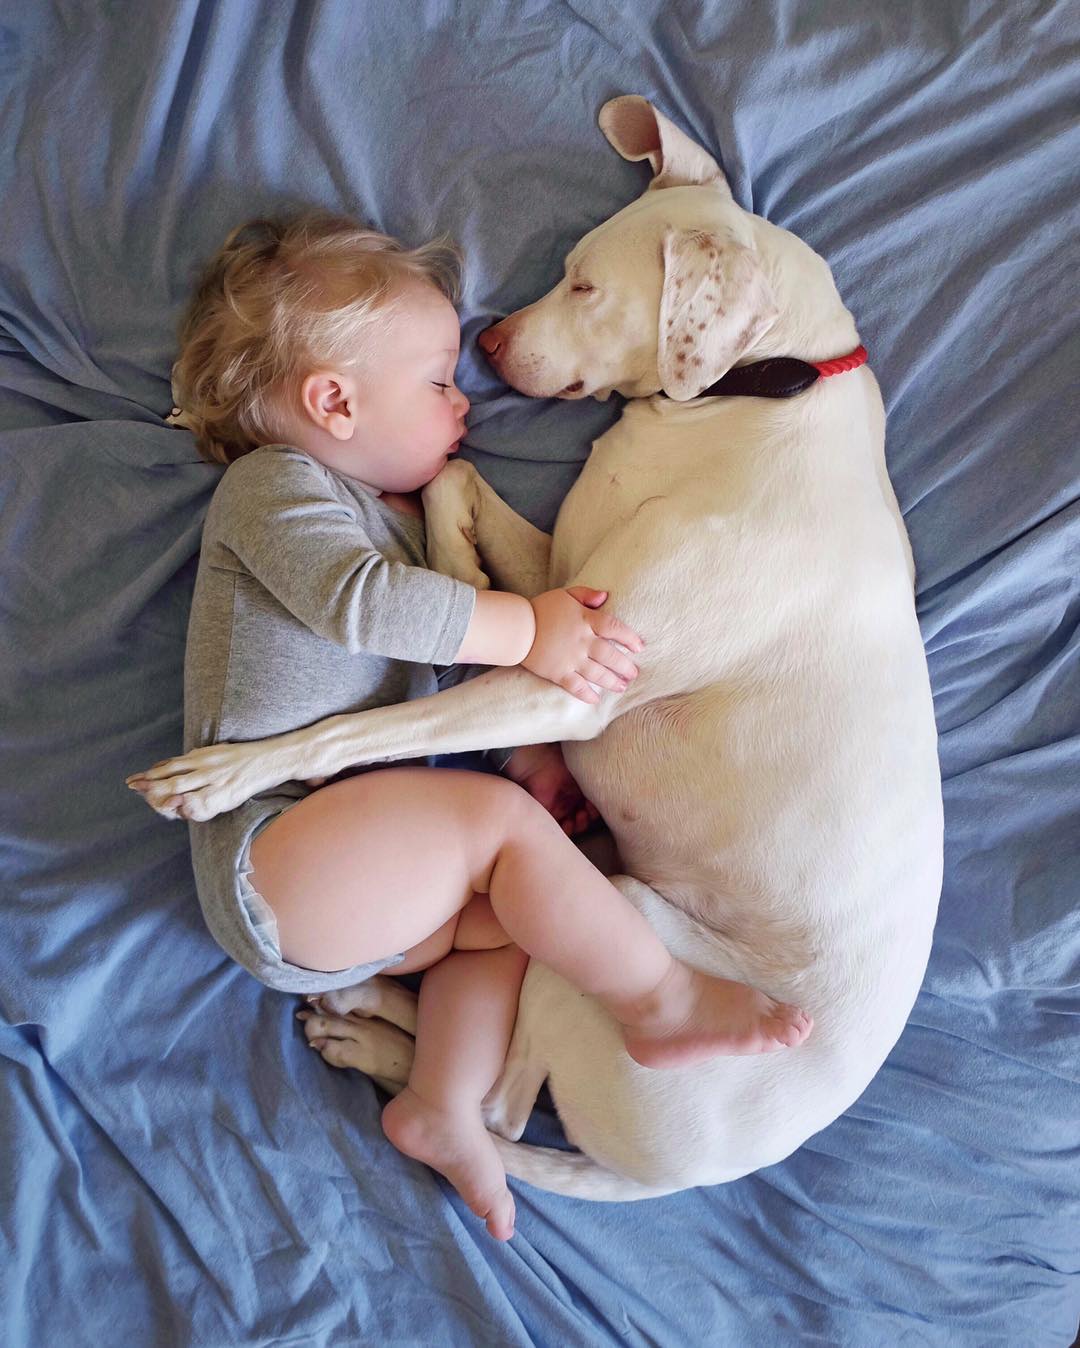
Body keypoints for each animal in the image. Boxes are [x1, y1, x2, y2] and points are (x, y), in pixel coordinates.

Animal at [132, 99, 943, 1207]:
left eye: (588, 285)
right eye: (565, 268)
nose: (489, 336)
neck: (758, 398)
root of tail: (689, 1175)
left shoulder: (573, 692)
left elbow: (367, 728)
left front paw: (223, 774)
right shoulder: (570, 584)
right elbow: (456, 484)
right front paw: (456, 563)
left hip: (619, 921)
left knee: (496, 1112)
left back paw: (382, 1040)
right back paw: (376, 1006)